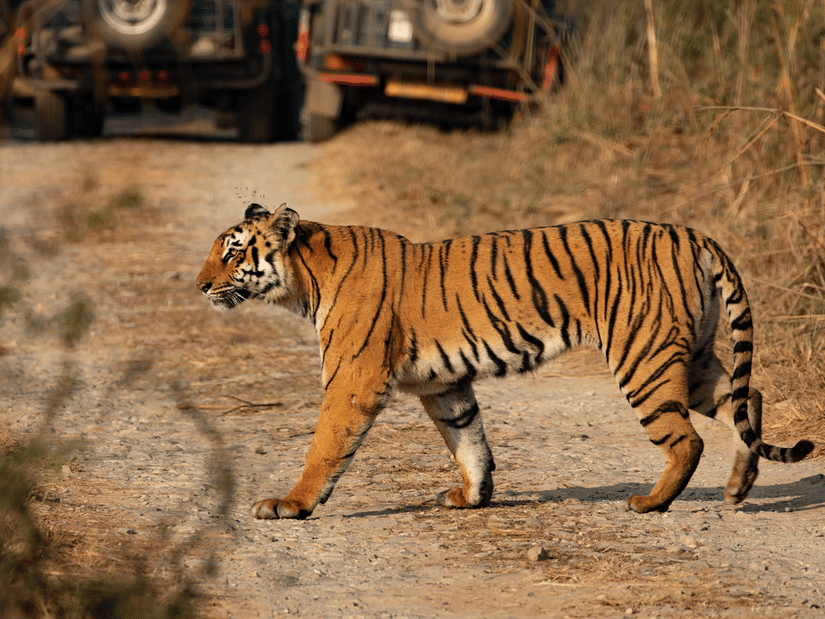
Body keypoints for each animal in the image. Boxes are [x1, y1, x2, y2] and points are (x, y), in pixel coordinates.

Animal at [196, 203, 814, 520]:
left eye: (232, 252)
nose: (200, 285)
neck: (304, 279)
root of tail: (693, 234)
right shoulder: (443, 384)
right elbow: (469, 440)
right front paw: (471, 498)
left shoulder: (354, 379)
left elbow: (325, 447)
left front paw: (291, 504)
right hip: (688, 360)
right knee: (749, 399)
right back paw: (738, 488)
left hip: (644, 358)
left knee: (687, 439)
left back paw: (650, 502)